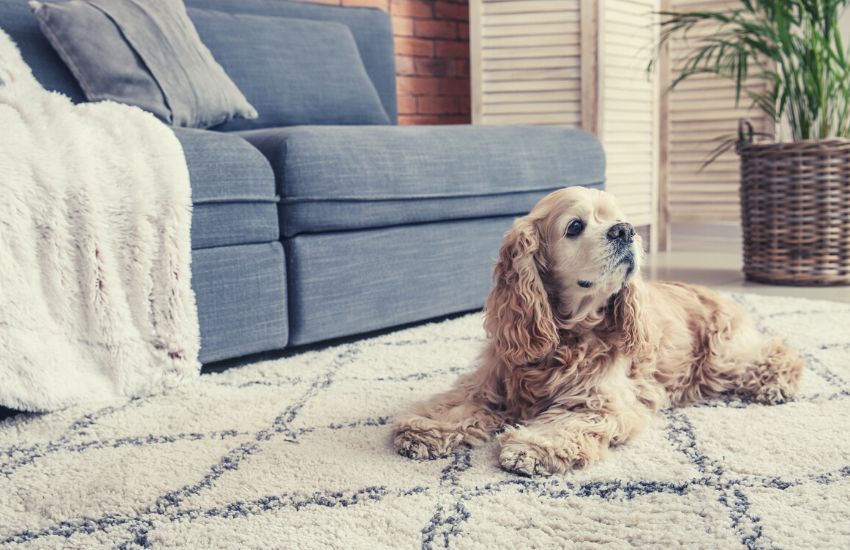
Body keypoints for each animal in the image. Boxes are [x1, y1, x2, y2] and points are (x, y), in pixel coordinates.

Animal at [390, 187, 800, 478]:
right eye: (575, 226)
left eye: (620, 220)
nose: (627, 230)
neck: (567, 335)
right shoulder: (491, 383)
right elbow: (458, 405)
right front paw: (425, 429)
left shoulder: (604, 402)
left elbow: (569, 423)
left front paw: (533, 448)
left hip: (722, 356)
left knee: (780, 351)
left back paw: (776, 384)